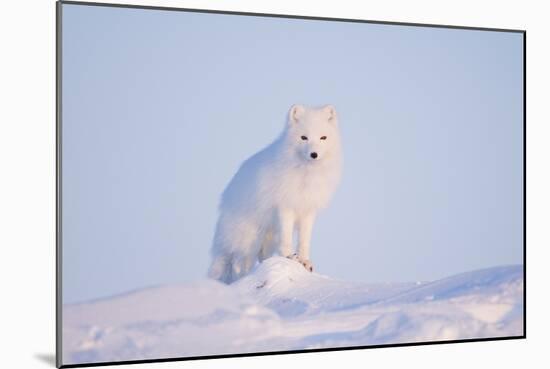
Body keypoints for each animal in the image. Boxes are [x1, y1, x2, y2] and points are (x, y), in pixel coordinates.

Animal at [209, 105, 342, 284]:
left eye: (323, 138)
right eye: (304, 138)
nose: (314, 154)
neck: (306, 176)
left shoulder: (308, 210)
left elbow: (304, 240)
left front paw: (305, 261)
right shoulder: (285, 206)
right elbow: (286, 238)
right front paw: (289, 256)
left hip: (267, 238)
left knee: (261, 257)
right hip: (249, 239)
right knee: (238, 264)